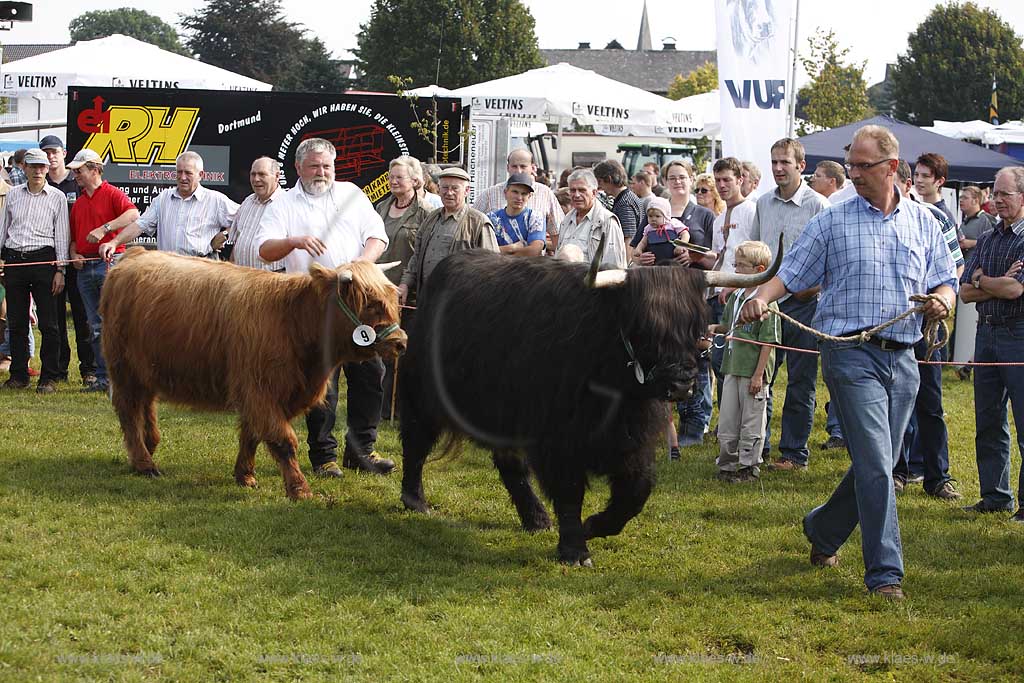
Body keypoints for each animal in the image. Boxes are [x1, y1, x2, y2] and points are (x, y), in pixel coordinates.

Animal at [99, 248, 407, 499]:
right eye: (371, 303)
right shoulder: (259, 389)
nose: (401, 342)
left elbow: (251, 435)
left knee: (145, 405)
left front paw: (244, 476)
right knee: (128, 410)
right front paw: (300, 490)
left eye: (393, 299)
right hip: (123, 368)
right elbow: (283, 440)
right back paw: (144, 463)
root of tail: (134, 255)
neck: (293, 320)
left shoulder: (260, 393)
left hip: (146, 369)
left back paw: (149, 447)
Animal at [399, 237, 782, 565]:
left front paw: (594, 526)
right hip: (421, 392)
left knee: (509, 465)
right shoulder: (557, 439)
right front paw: (575, 549)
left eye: (696, 327)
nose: (680, 383)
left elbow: (636, 491)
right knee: (416, 443)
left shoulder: (633, 438)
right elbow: (570, 492)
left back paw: (536, 517)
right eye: (644, 328)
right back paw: (415, 500)